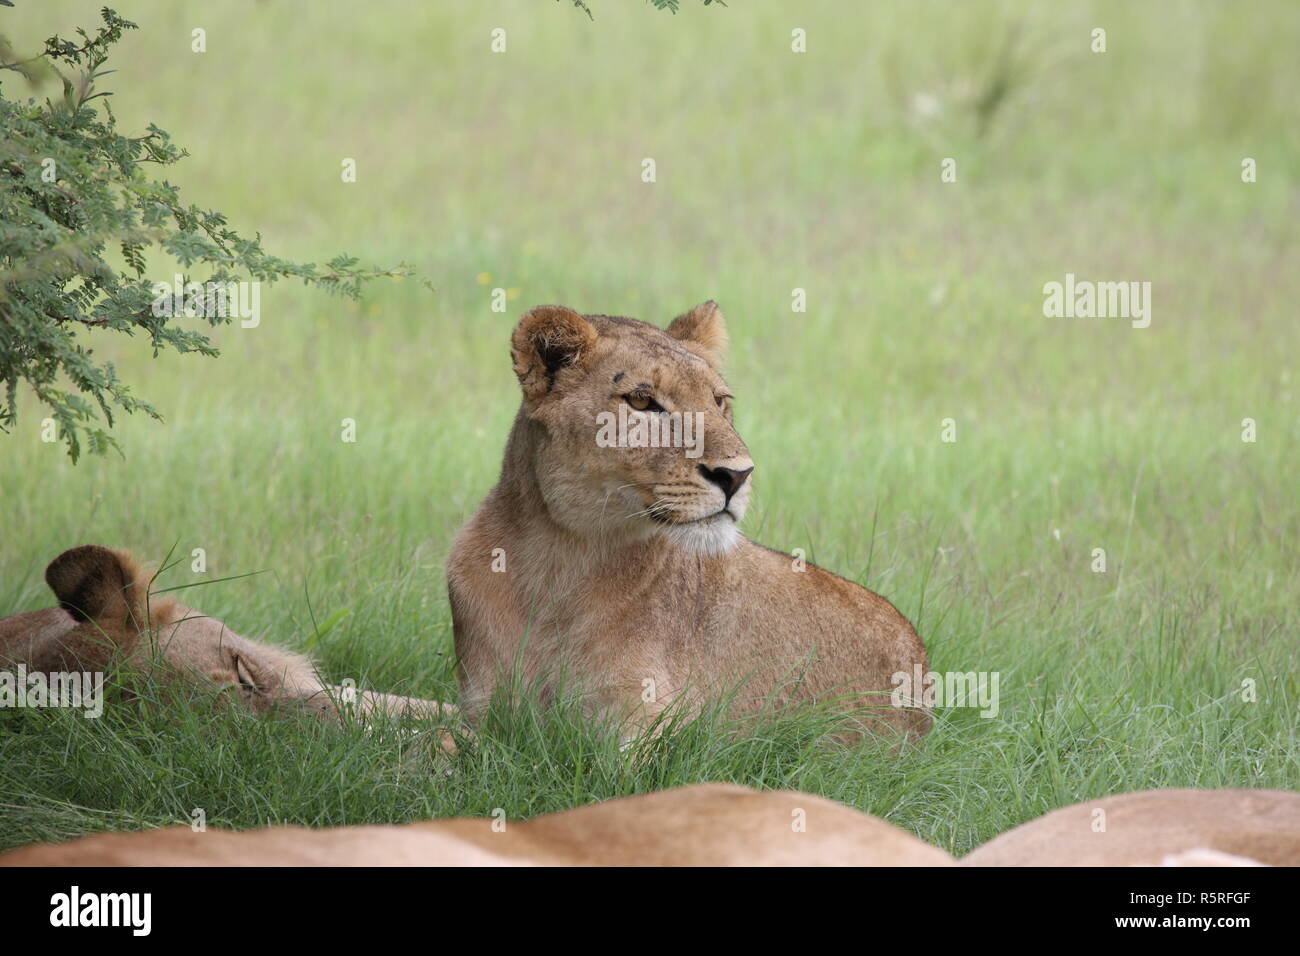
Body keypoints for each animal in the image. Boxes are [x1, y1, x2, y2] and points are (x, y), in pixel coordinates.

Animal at [447, 302, 930, 742]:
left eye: (719, 401)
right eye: (642, 401)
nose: (738, 475)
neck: (559, 558)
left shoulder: (651, 732)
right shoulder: (482, 707)